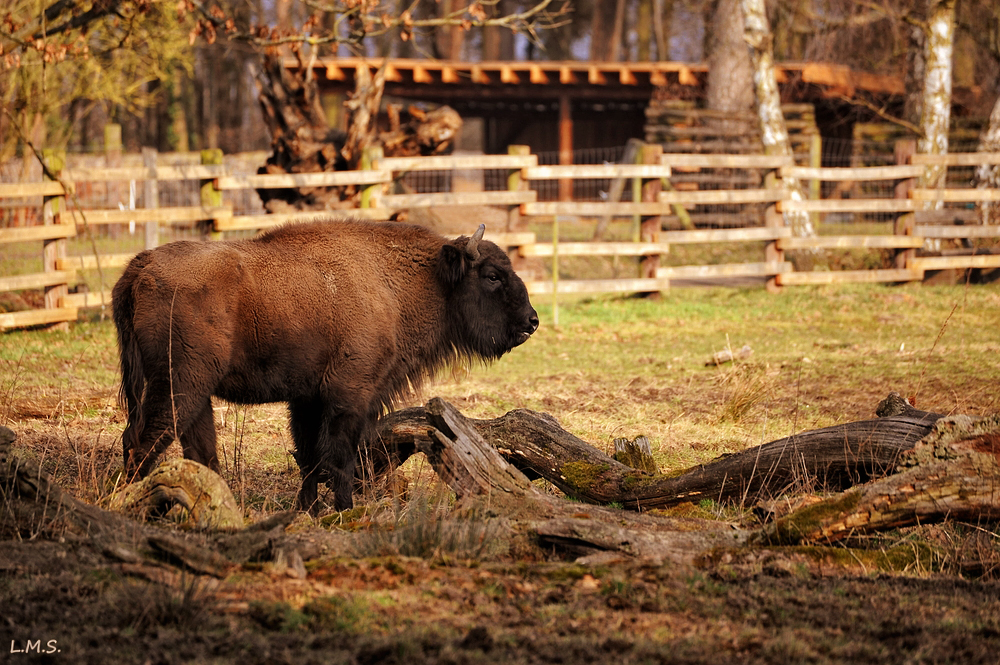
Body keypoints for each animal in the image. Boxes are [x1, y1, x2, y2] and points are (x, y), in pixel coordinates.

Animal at [113, 220, 540, 510]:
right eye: (492, 275)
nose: (532, 321)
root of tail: (141, 264)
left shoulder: (307, 399)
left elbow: (309, 458)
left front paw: (309, 510)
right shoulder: (349, 395)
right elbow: (338, 459)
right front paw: (344, 510)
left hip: (194, 394)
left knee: (197, 453)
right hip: (179, 385)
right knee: (143, 443)